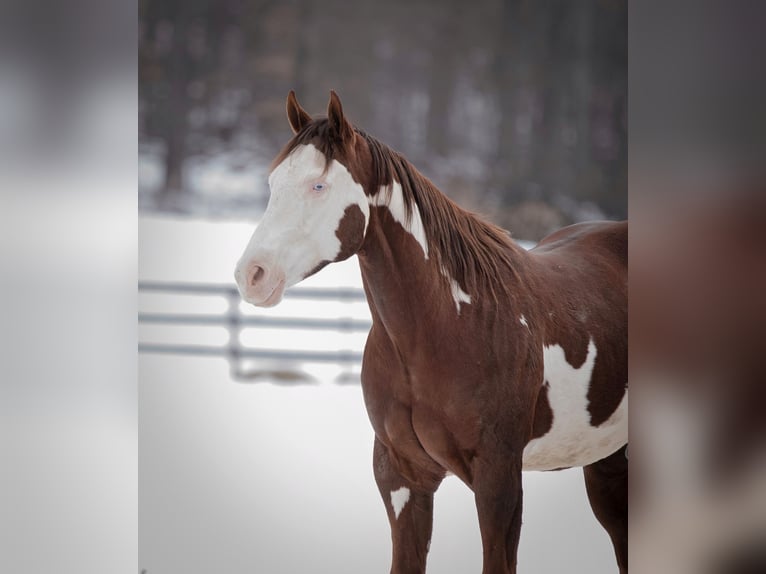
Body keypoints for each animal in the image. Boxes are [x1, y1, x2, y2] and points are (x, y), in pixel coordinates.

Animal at [234, 91, 628, 574]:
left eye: (318, 186)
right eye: (274, 183)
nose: (251, 274)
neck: (448, 329)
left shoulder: (499, 482)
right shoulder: (402, 477)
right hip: (609, 464)